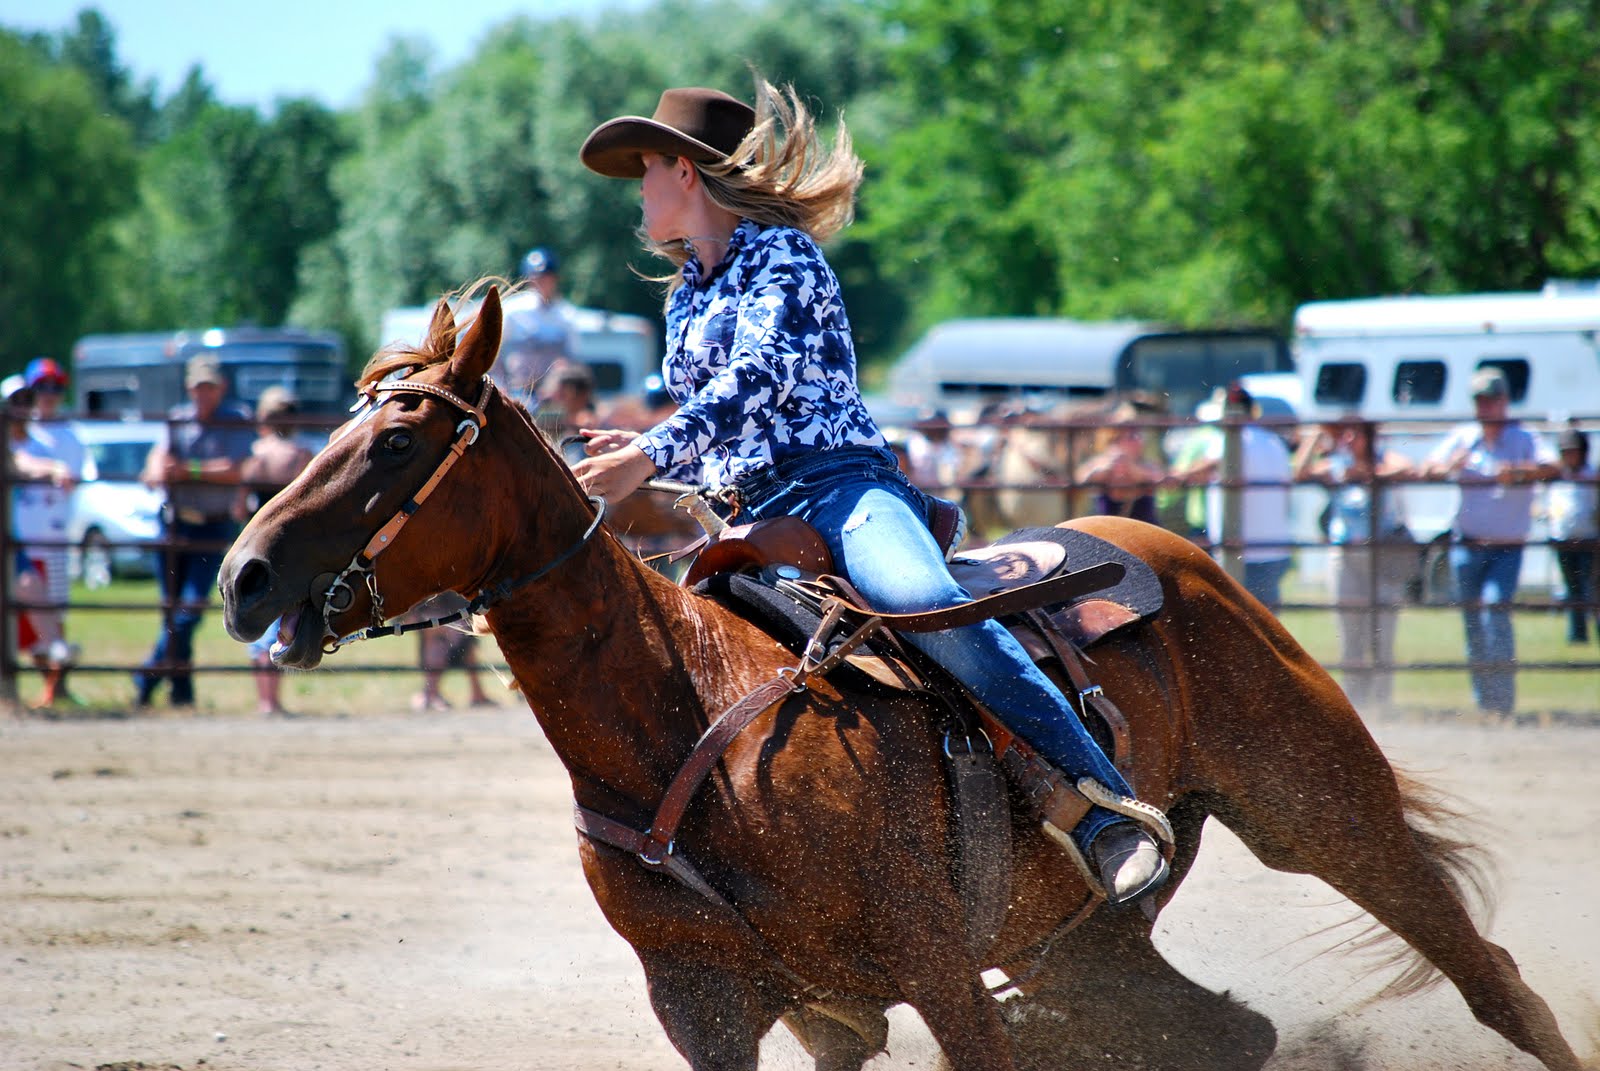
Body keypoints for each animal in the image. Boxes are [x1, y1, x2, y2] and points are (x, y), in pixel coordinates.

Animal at [219, 286, 1580, 1069]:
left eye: (397, 442)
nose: (241, 574)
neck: (688, 722)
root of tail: (1175, 550)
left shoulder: (936, 974)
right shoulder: (714, 1008)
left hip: (1320, 809)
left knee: (1494, 985)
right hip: (1084, 947)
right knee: (1227, 1034)